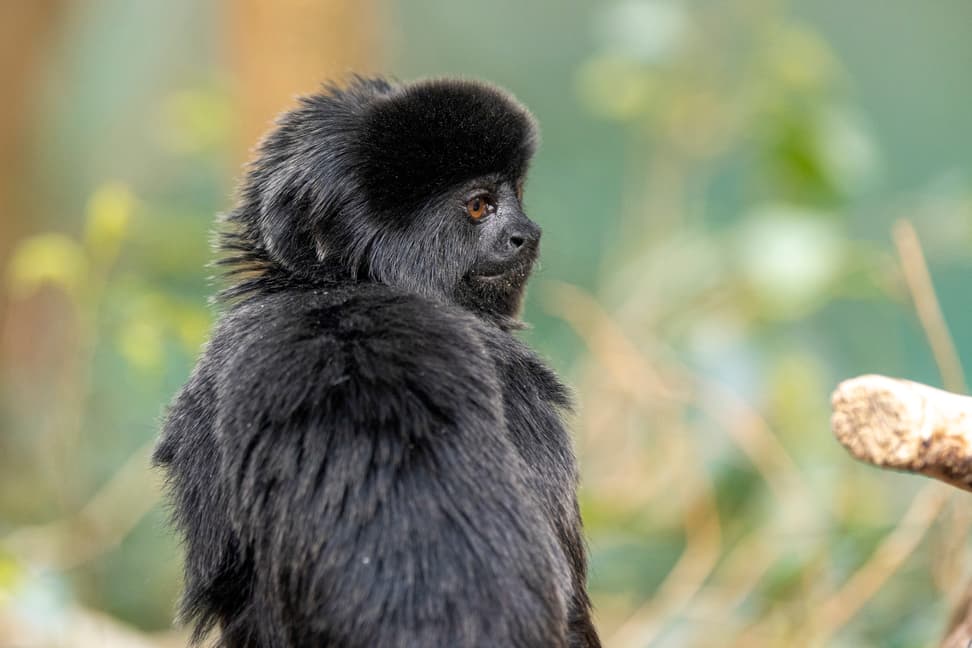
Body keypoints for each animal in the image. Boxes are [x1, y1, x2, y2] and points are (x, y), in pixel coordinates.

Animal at [155, 77, 596, 648]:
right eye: (481, 206)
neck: (345, 288)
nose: (528, 231)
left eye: (514, 197)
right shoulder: (517, 388)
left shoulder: (213, 375)